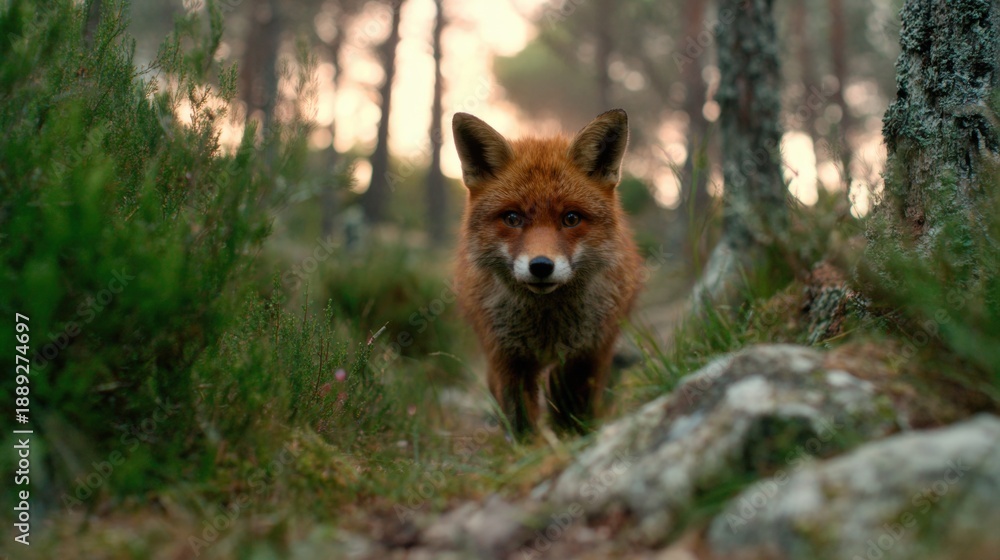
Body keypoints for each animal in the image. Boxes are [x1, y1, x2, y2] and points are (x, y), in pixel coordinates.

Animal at [452, 109, 643, 439]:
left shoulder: (587, 354)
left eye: (571, 218)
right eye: (512, 218)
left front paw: (574, 441)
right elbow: (521, 420)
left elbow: (572, 411)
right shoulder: (507, 359)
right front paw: (528, 450)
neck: (547, 327)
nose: (541, 266)